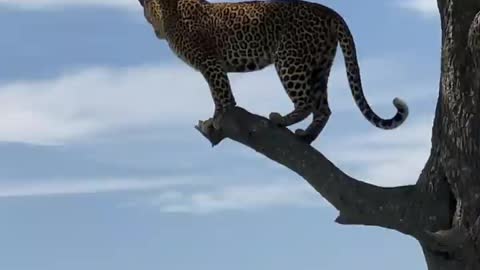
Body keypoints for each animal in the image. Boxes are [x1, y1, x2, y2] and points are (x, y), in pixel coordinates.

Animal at [138, 0, 408, 143]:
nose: (153, 30)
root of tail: (328, 10)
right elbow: (220, 92)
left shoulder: (210, 62)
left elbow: (220, 93)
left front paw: (217, 117)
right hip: (320, 64)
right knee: (323, 108)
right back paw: (306, 136)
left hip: (289, 59)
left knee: (307, 102)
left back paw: (281, 120)